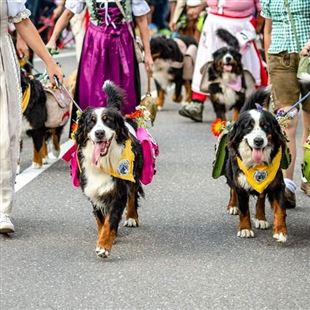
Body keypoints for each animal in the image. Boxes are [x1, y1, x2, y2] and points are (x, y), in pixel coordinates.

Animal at [74, 80, 143, 260]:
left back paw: (131, 217)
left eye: (108, 120)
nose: (99, 133)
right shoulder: (93, 190)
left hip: (133, 174)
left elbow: (110, 220)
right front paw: (104, 237)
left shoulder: (118, 192)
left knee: (132, 195)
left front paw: (104, 246)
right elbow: (101, 220)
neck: (102, 163)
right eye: (91, 121)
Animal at [225, 88, 288, 243]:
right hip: (230, 171)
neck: (257, 166)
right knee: (232, 188)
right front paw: (245, 229)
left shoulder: (277, 184)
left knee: (261, 197)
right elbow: (244, 210)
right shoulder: (241, 184)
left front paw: (280, 231)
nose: (258, 141)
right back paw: (232, 206)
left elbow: (280, 210)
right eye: (248, 127)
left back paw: (261, 218)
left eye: (266, 126)